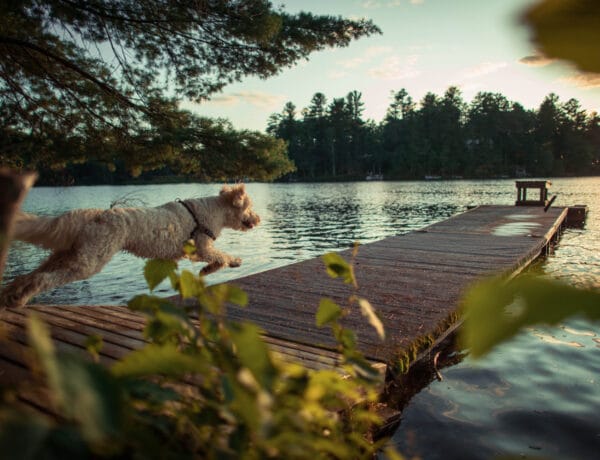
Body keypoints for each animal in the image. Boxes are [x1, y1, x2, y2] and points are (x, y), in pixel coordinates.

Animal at [1, 184, 262, 310]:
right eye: (249, 208)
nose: (259, 219)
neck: (213, 211)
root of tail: (95, 215)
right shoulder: (202, 246)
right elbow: (221, 256)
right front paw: (233, 262)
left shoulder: (195, 251)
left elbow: (215, 260)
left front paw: (207, 270)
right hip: (88, 261)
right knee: (42, 279)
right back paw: (20, 299)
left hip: (68, 254)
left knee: (28, 275)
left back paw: (12, 296)